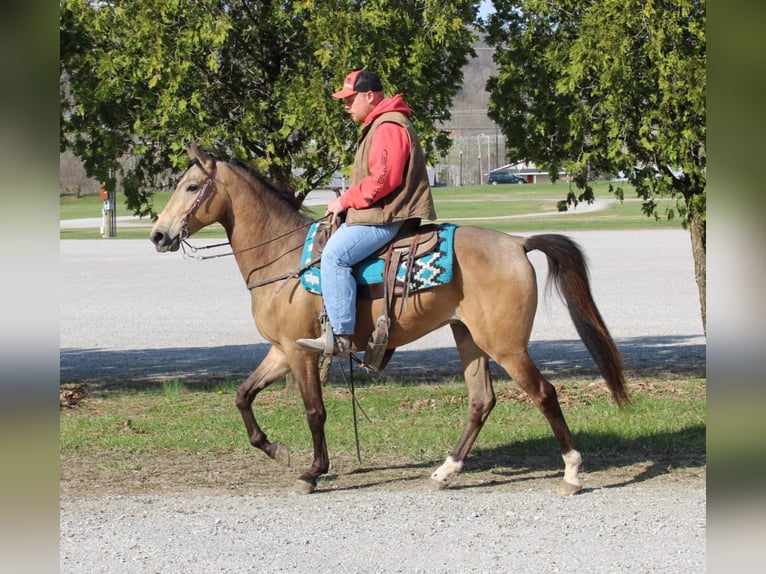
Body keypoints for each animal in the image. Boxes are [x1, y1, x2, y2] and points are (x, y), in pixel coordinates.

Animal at [152, 144, 632, 496]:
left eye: (191, 186)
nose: (159, 234)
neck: (284, 257)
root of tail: (516, 243)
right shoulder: (281, 350)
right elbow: (243, 396)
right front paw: (276, 450)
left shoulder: (301, 353)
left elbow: (314, 411)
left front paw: (313, 471)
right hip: (469, 338)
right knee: (481, 402)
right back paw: (446, 470)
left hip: (506, 345)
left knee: (544, 394)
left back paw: (571, 473)